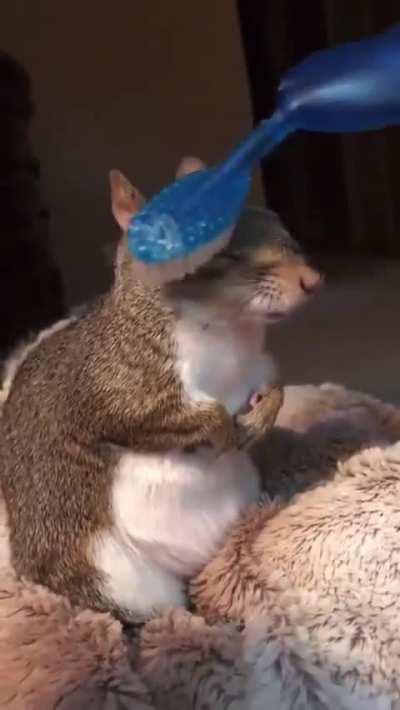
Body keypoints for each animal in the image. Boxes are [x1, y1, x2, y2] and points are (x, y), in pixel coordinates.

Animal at [0, 156, 322, 623]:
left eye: (275, 219)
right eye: (213, 248)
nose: (312, 280)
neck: (227, 331)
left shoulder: (256, 368)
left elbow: (275, 386)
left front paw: (260, 420)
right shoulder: (116, 387)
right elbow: (165, 417)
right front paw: (222, 435)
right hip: (119, 581)